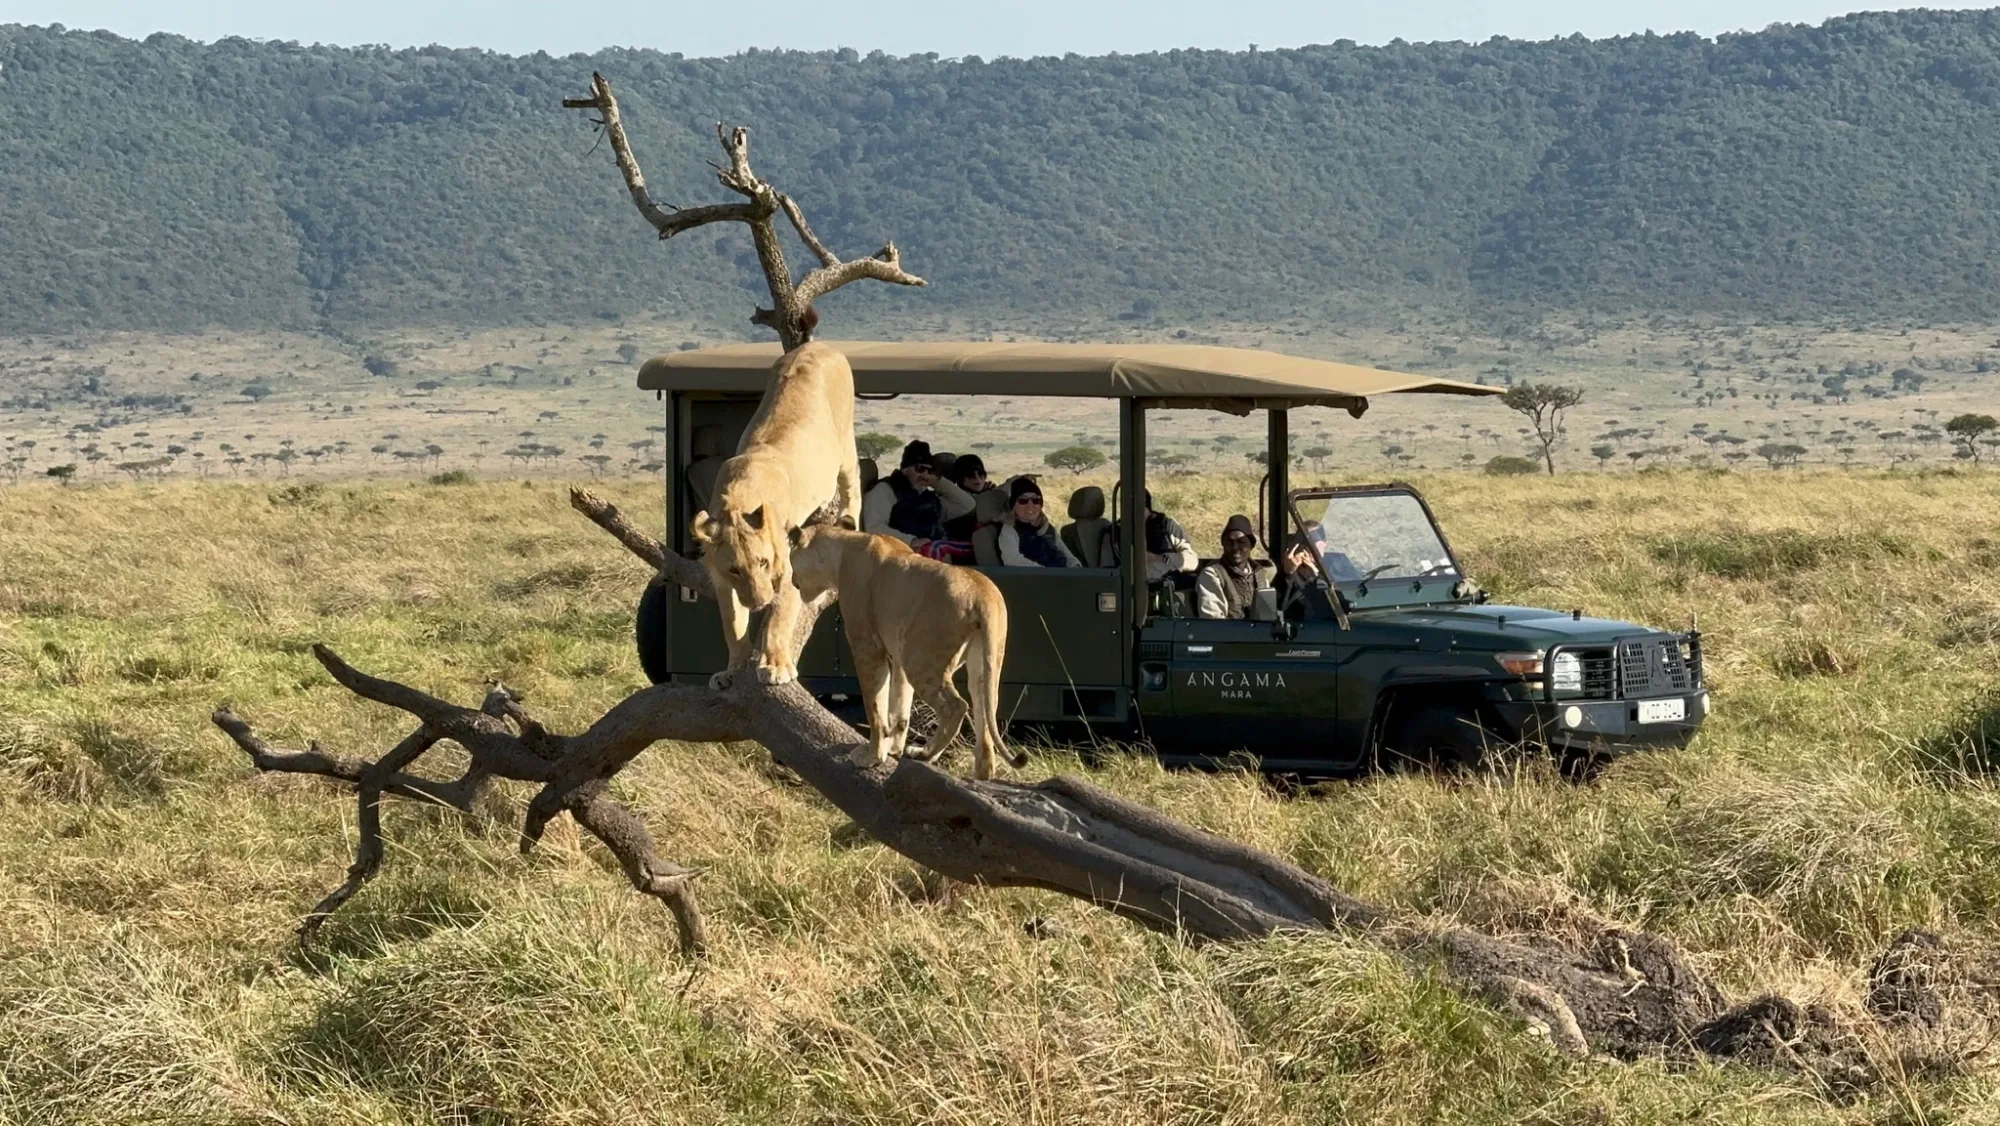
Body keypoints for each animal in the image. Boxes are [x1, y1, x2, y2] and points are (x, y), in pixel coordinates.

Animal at [690, 342, 861, 689]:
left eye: (763, 562)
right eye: (735, 569)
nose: (759, 603)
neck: (737, 502)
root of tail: (819, 345)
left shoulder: (789, 567)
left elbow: (779, 619)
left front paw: (775, 666)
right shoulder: (722, 580)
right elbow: (732, 626)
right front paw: (731, 671)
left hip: (845, 446)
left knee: (854, 485)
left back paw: (850, 517)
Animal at [787, 525, 1022, 779]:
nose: (791, 580)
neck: (841, 551)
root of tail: (981, 594)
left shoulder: (867, 647)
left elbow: (875, 706)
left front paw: (873, 756)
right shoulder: (898, 654)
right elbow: (899, 707)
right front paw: (893, 749)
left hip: (921, 660)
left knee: (957, 706)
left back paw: (925, 754)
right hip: (985, 662)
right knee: (985, 714)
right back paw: (981, 774)